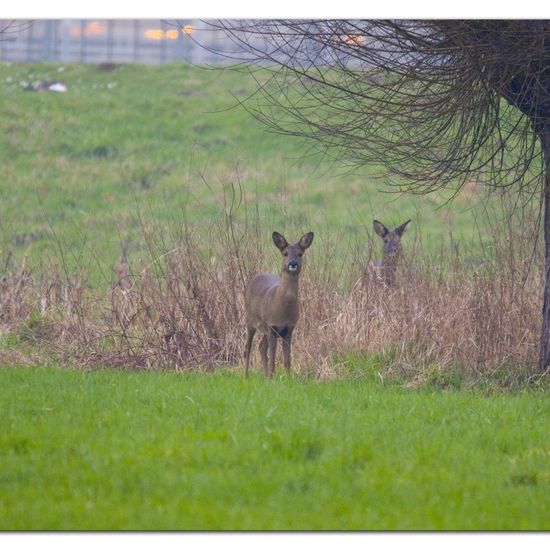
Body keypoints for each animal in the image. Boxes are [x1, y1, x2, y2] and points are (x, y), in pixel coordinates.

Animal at [245, 232, 314, 380]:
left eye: (300, 254)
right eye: (285, 253)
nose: (292, 263)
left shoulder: (289, 329)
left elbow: (287, 360)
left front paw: (287, 379)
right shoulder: (272, 327)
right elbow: (273, 359)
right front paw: (273, 380)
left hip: (265, 328)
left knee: (261, 348)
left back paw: (265, 377)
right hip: (250, 320)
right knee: (248, 348)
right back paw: (245, 377)